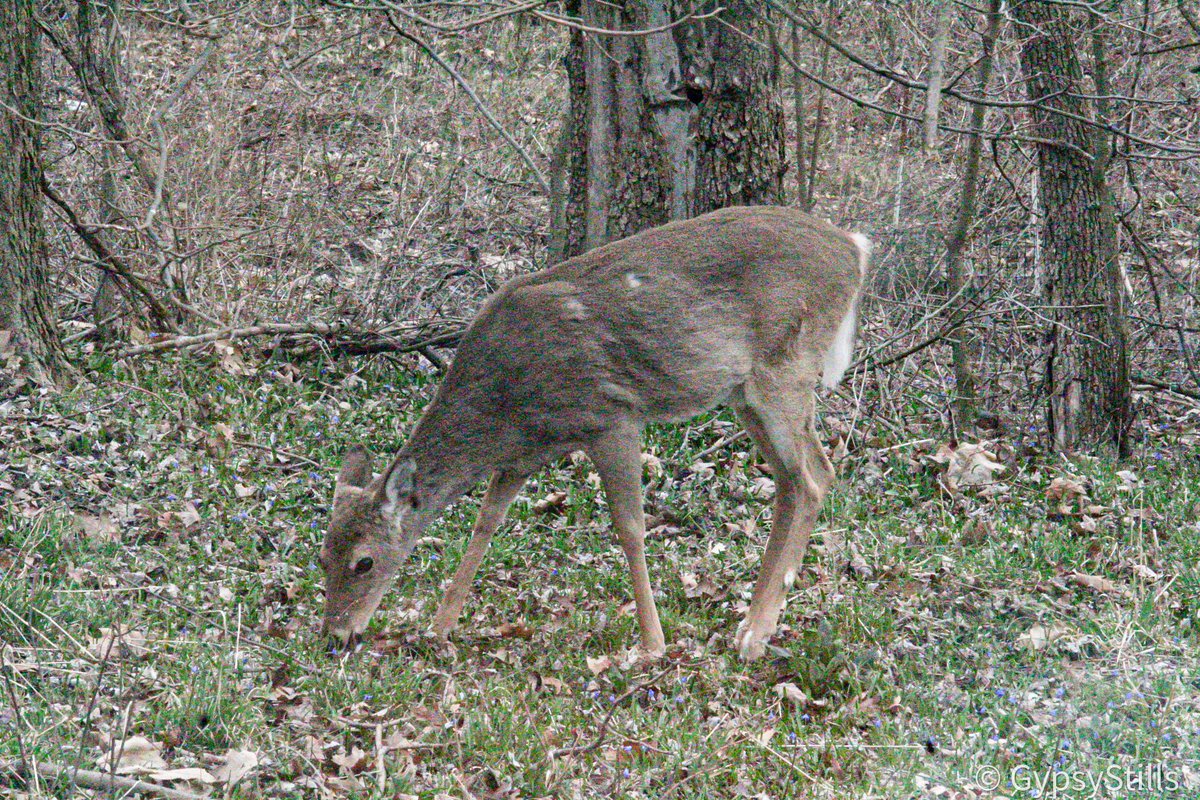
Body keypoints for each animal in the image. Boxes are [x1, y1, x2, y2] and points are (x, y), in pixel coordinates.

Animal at [319, 205, 870, 661]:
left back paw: (755, 634)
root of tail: (855, 249)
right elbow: (485, 523)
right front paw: (440, 627)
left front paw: (651, 645)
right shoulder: (524, 452)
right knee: (801, 479)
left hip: (783, 371)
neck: (504, 404)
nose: (336, 637)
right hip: (745, 393)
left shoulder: (611, 416)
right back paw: (758, 620)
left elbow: (629, 529)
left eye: (365, 562)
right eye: (322, 555)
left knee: (811, 479)